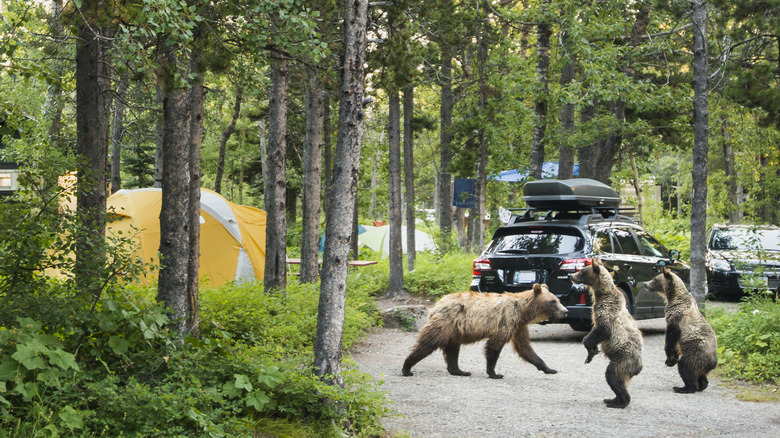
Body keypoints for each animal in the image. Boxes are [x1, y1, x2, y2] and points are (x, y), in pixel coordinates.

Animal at [402, 284, 568, 380]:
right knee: (429, 342)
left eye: (558, 299)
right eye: (553, 301)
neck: (523, 311)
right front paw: (495, 373)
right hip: (445, 322)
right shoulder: (506, 320)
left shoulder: (518, 326)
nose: (565, 311)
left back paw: (459, 370)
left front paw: (549, 369)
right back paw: (407, 368)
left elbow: (525, 348)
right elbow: (494, 346)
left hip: (454, 329)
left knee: (452, 348)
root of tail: (437, 304)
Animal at [568, 258, 644, 408]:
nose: (570, 275)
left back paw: (620, 402)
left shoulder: (606, 310)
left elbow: (602, 330)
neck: (601, 294)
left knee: (613, 376)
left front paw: (590, 351)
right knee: (619, 381)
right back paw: (612, 399)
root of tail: (639, 367)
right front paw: (591, 353)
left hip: (623, 360)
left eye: (582, 271)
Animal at [640, 266, 720, 394]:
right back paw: (702, 385)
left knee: (685, 367)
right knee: (700, 374)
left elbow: (671, 337)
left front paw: (670, 360)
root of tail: (713, 362)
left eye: (654, 279)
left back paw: (684, 388)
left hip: (695, 352)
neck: (673, 297)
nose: (644, 283)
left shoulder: (676, 316)